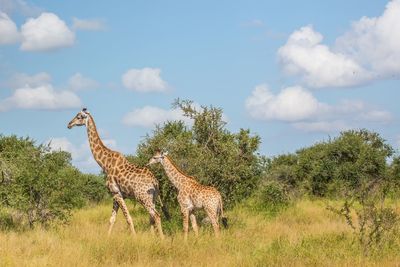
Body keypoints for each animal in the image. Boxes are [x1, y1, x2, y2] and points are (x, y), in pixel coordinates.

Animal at [68, 109, 168, 239]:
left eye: (79, 116)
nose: (69, 124)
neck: (105, 164)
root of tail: (155, 182)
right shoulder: (116, 195)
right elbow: (112, 219)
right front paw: (107, 238)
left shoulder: (116, 193)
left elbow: (128, 218)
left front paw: (134, 239)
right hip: (153, 198)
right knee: (152, 217)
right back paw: (153, 238)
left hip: (143, 197)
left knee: (156, 215)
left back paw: (162, 239)